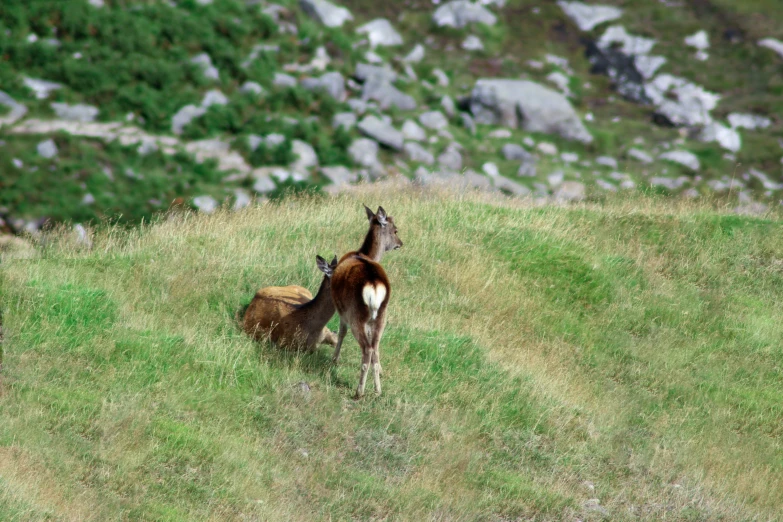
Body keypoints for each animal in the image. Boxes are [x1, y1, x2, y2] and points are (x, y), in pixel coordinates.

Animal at [330, 203, 404, 394]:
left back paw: (359, 391)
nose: (400, 243)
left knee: (367, 349)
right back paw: (377, 390)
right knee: (375, 348)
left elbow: (341, 332)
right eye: (395, 230)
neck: (363, 253)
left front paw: (334, 359)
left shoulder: (342, 311)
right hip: (381, 315)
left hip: (357, 314)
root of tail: (374, 285)